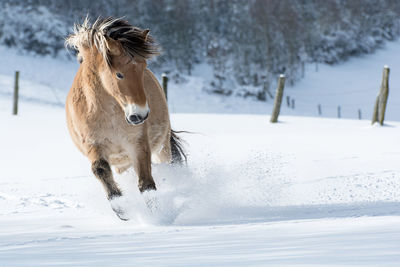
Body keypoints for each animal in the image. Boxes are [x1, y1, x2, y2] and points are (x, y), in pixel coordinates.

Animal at [65, 17, 185, 221]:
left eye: (144, 68)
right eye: (119, 74)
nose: (140, 115)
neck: (109, 114)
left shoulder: (138, 143)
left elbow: (146, 183)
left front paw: (157, 215)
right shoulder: (93, 144)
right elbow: (100, 169)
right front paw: (122, 210)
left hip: (162, 146)